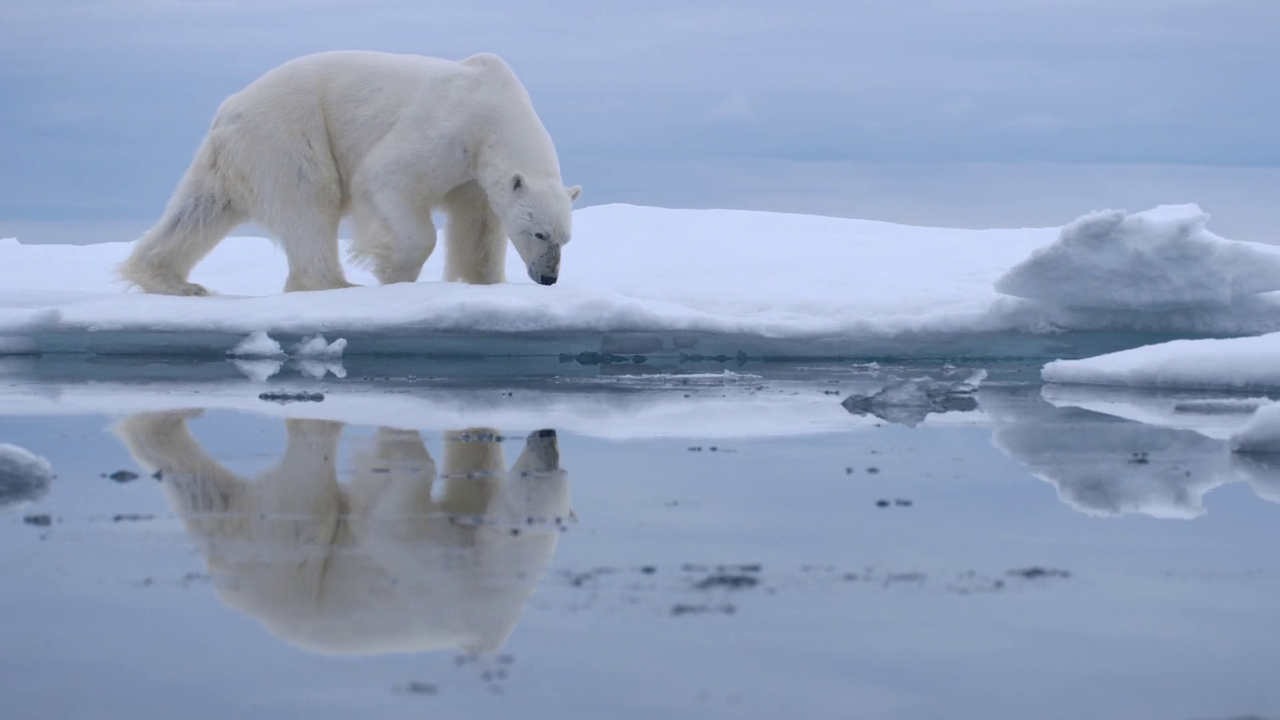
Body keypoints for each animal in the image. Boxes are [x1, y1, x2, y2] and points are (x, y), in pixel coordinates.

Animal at [118, 51, 582, 296]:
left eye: (564, 239)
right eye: (539, 233)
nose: (548, 278)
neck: (495, 105)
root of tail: (228, 111)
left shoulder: (474, 172)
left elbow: (479, 227)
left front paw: (479, 281)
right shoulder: (449, 127)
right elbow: (388, 176)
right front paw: (391, 272)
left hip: (234, 155)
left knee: (199, 209)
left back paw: (168, 279)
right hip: (289, 133)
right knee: (310, 201)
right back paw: (334, 285)